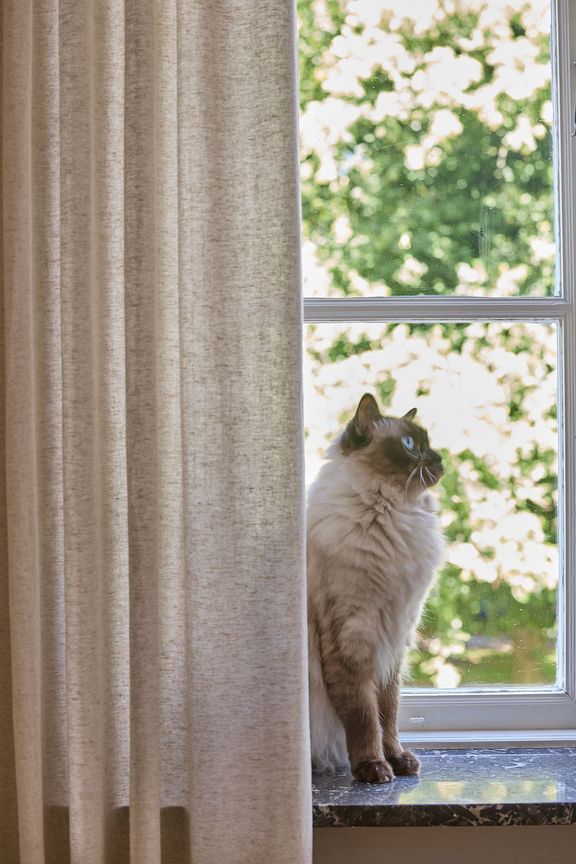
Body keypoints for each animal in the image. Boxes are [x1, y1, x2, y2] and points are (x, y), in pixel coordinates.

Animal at [306, 392, 446, 784]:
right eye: (410, 444)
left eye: (428, 441)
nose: (439, 458)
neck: (396, 514)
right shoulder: (353, 638)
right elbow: (364, 716)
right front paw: (373, 768)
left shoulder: (393, 638)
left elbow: (389, 714)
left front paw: (398, 761)